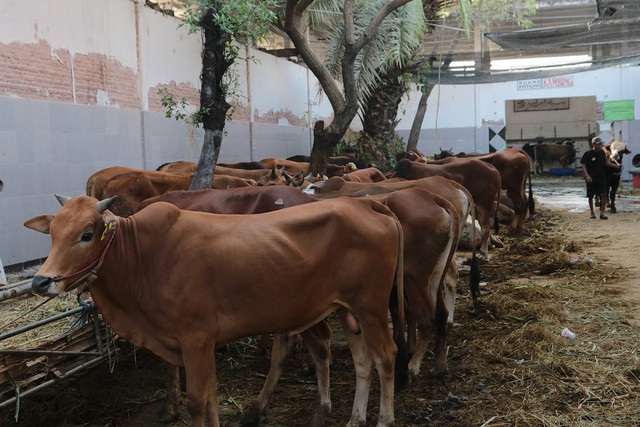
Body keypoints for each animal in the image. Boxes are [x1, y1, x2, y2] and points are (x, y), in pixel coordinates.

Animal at [26, 196, 404, 426]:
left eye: (87, 234)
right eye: (53, 233)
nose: (41, 282)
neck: (143, 256)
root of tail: (366, 202)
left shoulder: (194, 339)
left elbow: (196, 399)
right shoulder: (201, 343)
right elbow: (210, 396)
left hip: (370, 307)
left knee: (386, 356)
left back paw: (384, 419)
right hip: (347, 311)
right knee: (362, 361)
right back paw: (355, 419)